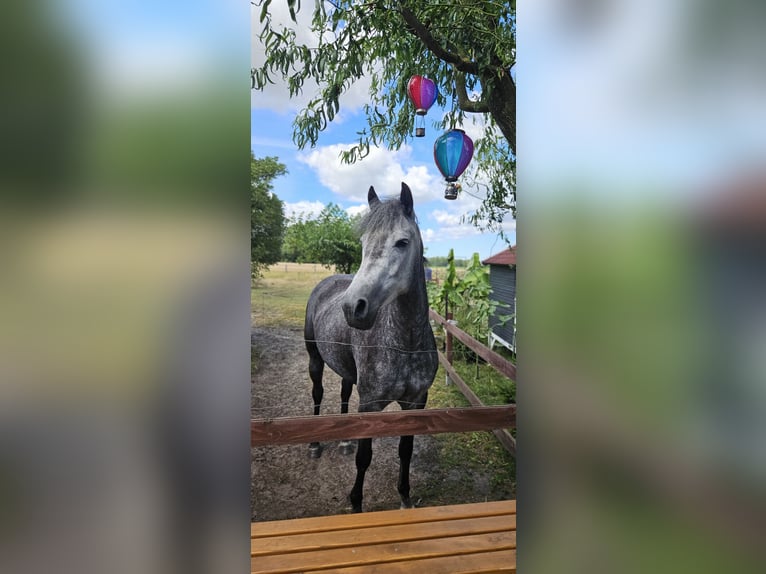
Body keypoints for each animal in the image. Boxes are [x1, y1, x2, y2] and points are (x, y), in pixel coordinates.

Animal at [304, 182, 438, 513]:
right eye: (363, 242)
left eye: (402, 242)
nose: (354, 308)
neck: (404, 345)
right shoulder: (370, 404)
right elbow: (364, 458)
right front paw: (356, 504)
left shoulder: (416, 402)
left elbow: (406, 450)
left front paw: (404, 497)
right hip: (314, 359)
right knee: (317, 394)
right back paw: (314, 445)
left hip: (346, 370)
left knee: (342, 394)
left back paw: (343, 441)